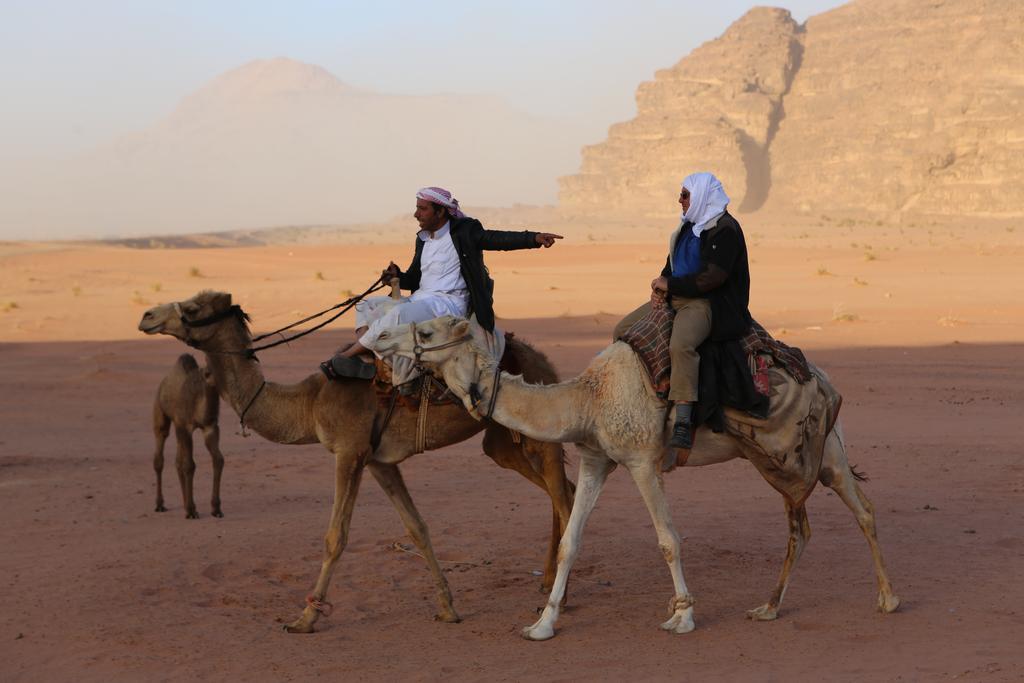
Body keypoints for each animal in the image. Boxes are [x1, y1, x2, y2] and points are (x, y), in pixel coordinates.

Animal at [150, 352, 225, 518]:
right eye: (208, 361)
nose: (208, 374)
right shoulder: (186, 427)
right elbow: (189, 465)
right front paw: (191, 511)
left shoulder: (210, 427)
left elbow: (218, 460)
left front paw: (216, 509)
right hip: (161, 412)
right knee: (160, 456)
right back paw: (160, 505)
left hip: (178, 428)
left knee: (178, 461)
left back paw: (185, 504)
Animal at [374, 317, 897, 643]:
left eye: (425, 329)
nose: (376, 337)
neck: (589, 398)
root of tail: (823, 377)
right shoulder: (595, 460)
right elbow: (570, 542)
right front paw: (542, 624)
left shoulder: (644, 461)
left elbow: (668, 540)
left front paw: (682, 616)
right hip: (797, 453)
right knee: (809, 523)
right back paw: (769, 607)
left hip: (816, 452)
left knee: (860, 510)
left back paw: (888, 600)